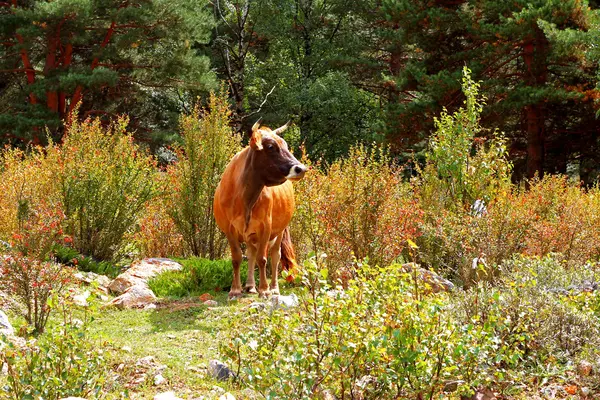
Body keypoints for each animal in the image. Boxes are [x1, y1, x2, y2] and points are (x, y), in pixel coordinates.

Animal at [213, 120, 308, 298]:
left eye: (285, 145)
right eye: (270, 147)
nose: (301, 169)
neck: (244, 199)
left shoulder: (266, 226)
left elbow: (263, 259)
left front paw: (264, 290)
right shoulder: (229, 229)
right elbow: (237, 258)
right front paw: (235, 290)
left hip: (280, 230)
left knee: (275, 255)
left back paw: (274, 288)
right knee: (251, 253)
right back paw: (250, 285)